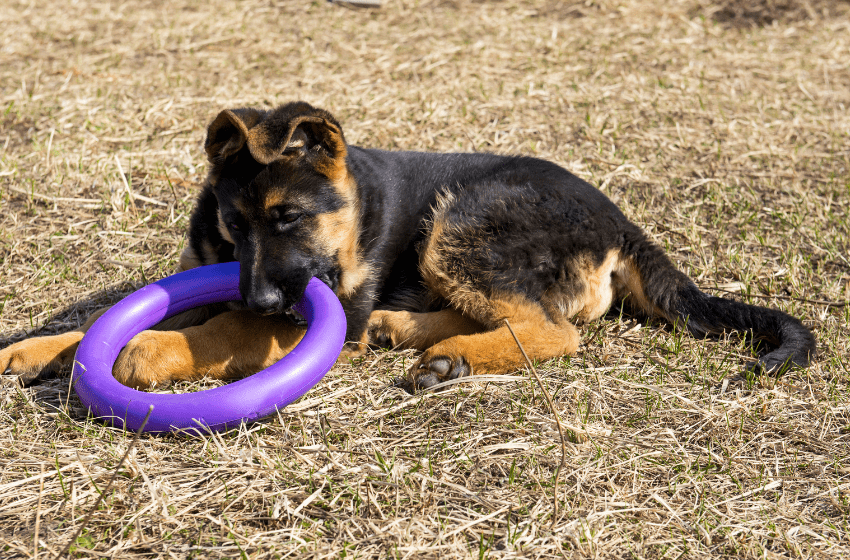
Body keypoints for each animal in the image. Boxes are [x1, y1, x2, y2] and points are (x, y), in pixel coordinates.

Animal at [0, 103, 816, 394]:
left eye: (288, 217)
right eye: (235, 225)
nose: (261, 291)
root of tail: (621, 221)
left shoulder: (317, 313)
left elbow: (222, 327)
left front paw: (149, 351)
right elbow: (118, 318)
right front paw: (37, 349)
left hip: (465, 219)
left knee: (553, 330)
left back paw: (450, 359)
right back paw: (417, 336)